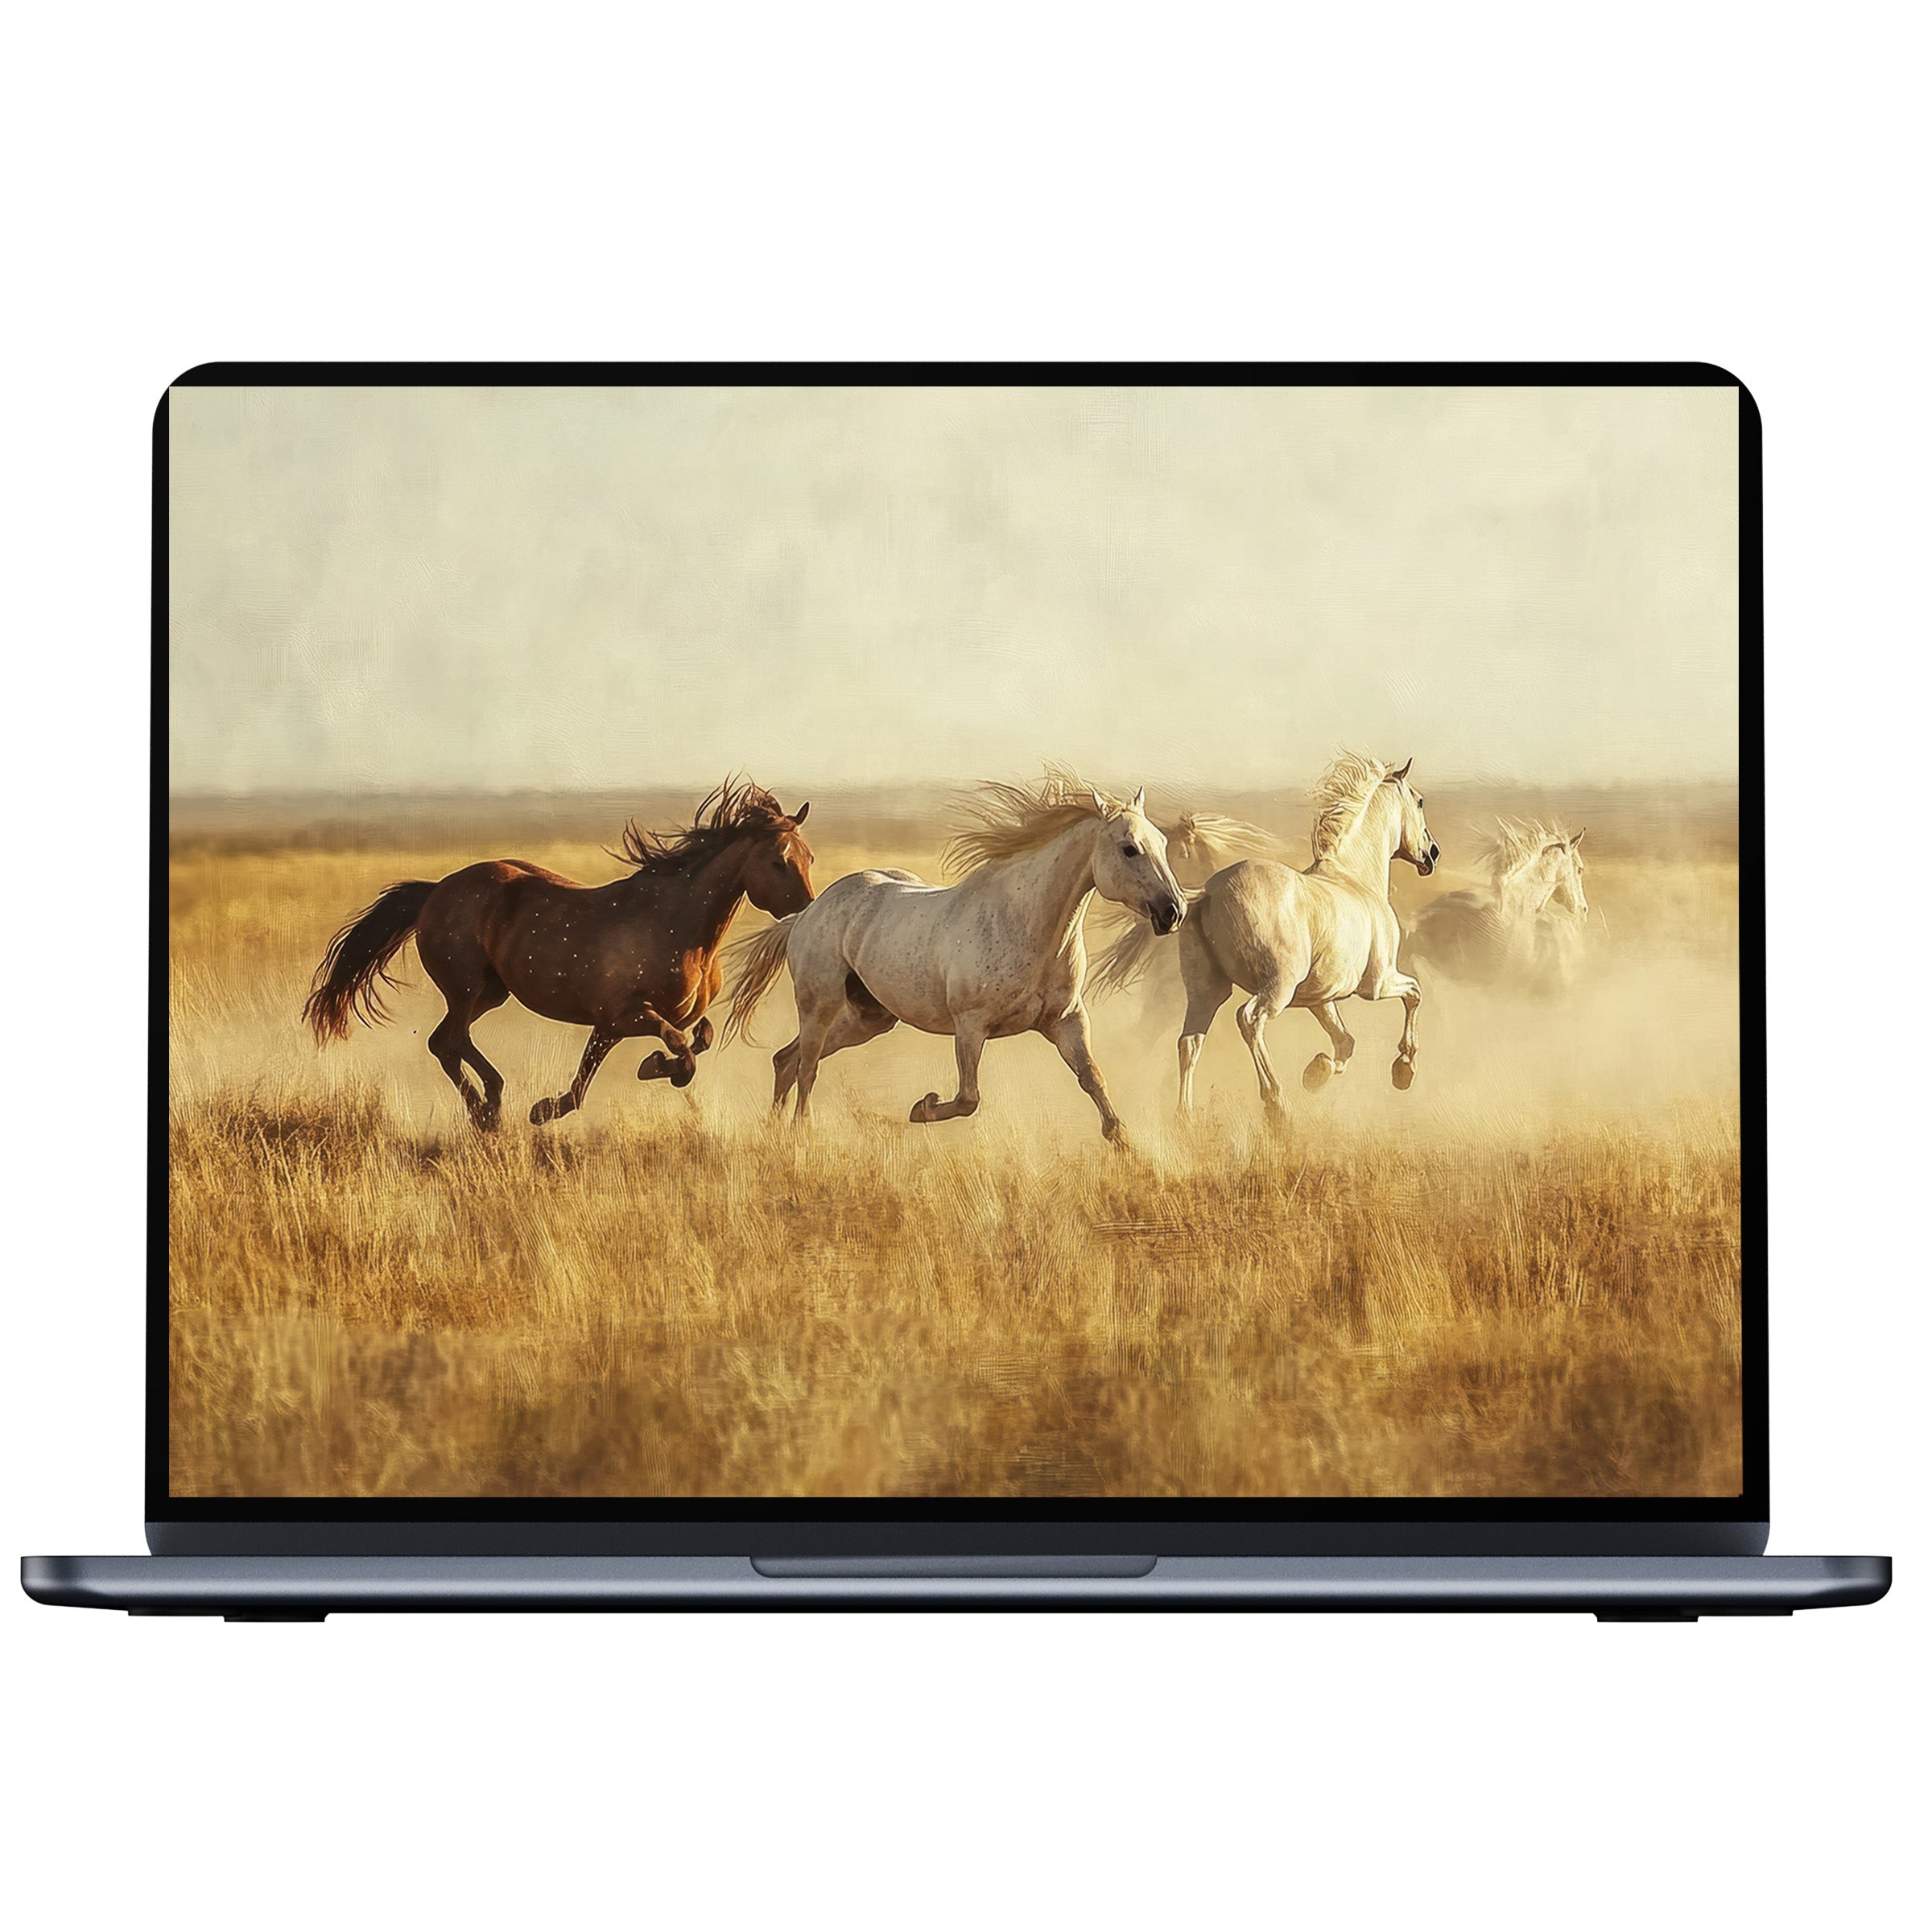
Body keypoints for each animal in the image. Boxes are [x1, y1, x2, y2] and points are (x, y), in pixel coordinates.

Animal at [302, 779, 816, 1130]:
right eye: (778, 861)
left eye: (808, 858)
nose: (809, 911)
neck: (679, 924)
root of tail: (436, 891)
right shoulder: (624, 1017)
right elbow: (679, 1054)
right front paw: (554, 1105)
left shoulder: (620, 1025)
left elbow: (688, 1045)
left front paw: (558, 1103)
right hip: (466, 988)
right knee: (448, 1042)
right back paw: (488, 1109)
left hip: (492, 992)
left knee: (445, 1041)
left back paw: (492, 1105)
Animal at [722, 772, 1186, 1144]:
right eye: (1129, 848)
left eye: (1163, 844)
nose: (1173, 912)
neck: (1027, 927)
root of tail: (806, 914)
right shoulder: (970, 1025)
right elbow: (968, 1099)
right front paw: (921, 1107)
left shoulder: (1067, 1020)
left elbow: (1093, 1078)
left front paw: (1125, 1146)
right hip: (819, 1004)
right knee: (806, 1068)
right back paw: (800, 1134)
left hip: (869, 1018)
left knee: (787, 1060)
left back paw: (773, 1129)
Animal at [1091, 753, 1439, 1113]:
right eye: (1420, 801)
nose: (1432, 854)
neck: (1354, 877)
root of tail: (1210, 890)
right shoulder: (1379, 983)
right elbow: (1414, 993)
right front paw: (1404, 1069)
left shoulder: (1321, 997)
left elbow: (1345, 1041)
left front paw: (1317, 1073)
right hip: (1277, 987)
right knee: (1249, 1020)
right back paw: (1276, 1104)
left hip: (1207, 991)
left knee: (1189, 1042)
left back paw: (1185, 1115)